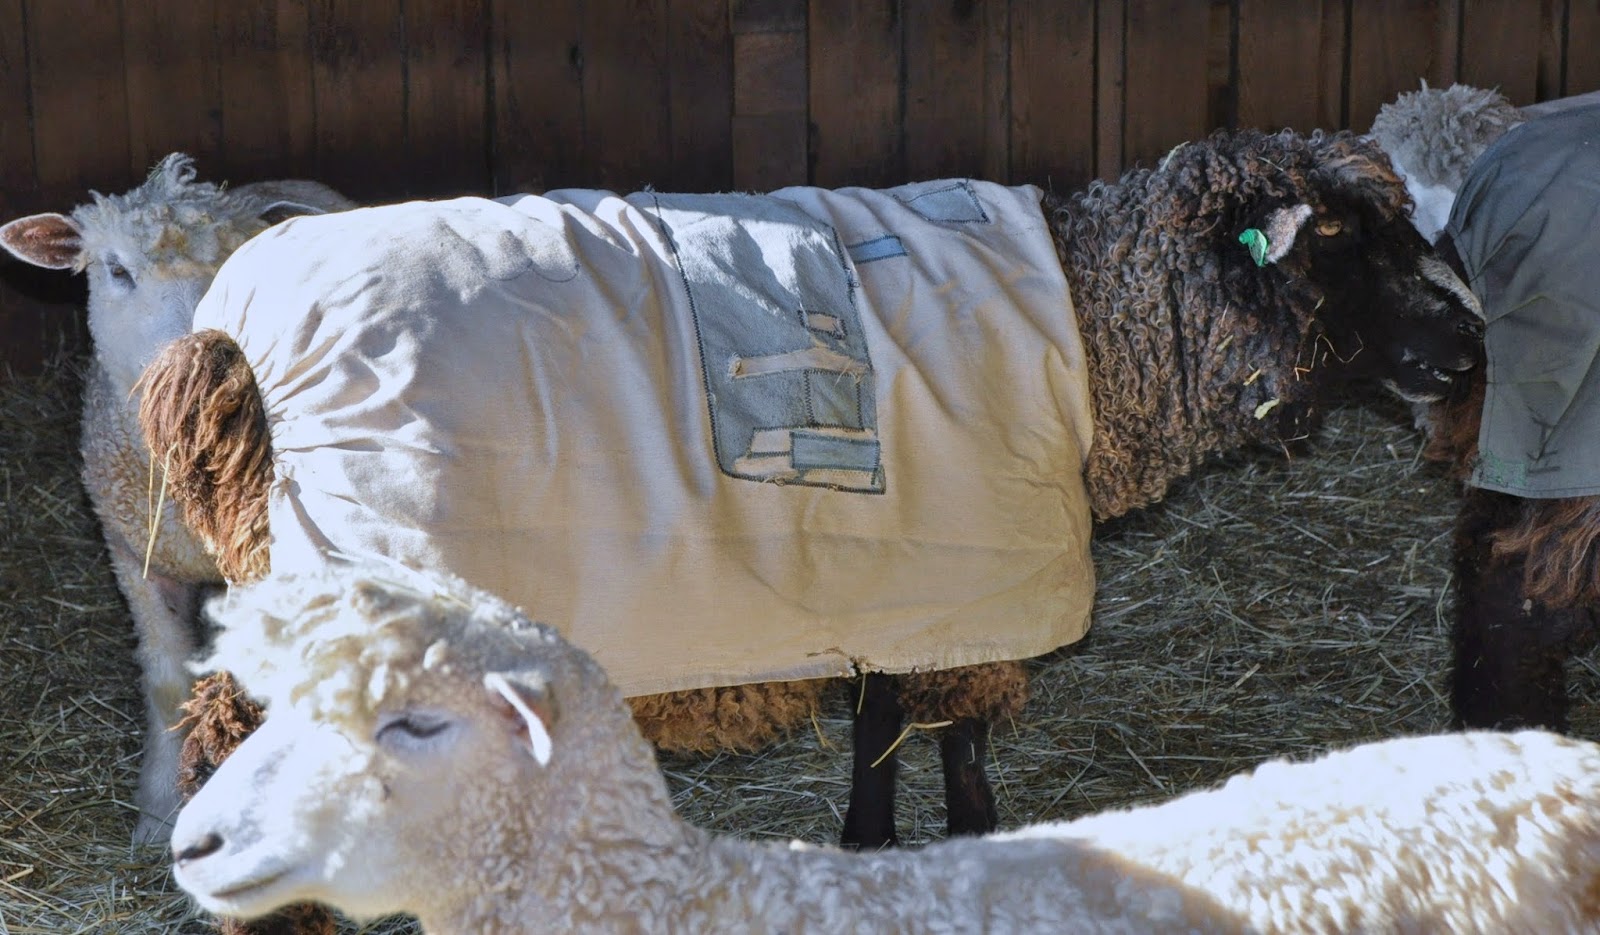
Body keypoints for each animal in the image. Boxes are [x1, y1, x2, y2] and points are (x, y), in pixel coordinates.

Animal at [139, 127, 1482, 858]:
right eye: (1336, 243)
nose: (1469, 348)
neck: (1095, 331)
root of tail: (233, 347)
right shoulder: (964, 571)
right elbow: (951, 751)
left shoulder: (895, 573)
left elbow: (886, 731)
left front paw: (874, 845)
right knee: (225, 737)